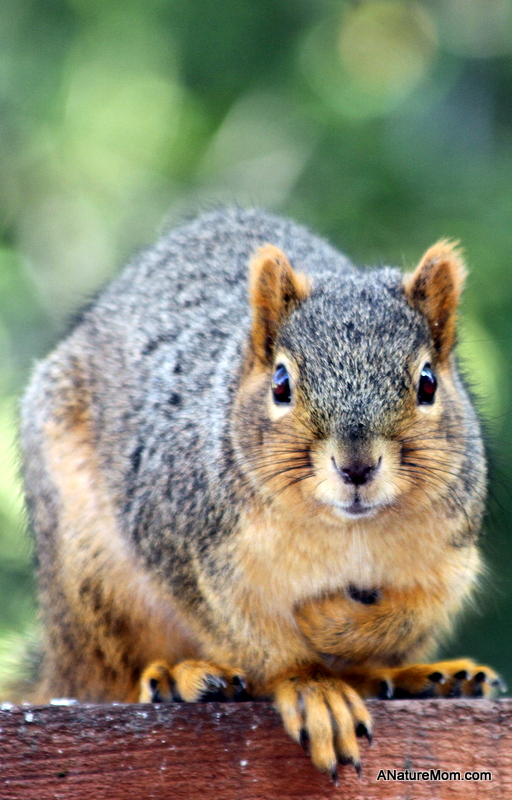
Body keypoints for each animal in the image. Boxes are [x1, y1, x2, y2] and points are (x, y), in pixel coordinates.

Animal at [17, 207, 502, 779]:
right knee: (113, 675)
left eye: (428, 382)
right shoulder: (188, 548)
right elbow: (252, 636)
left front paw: (329, 623)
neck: (346, 530)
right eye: (281, 384)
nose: (356, 466)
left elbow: (407, 612)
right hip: (93, 580)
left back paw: (424, 677)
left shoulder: (448, 561)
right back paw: (179, 676)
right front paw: (312, 685)